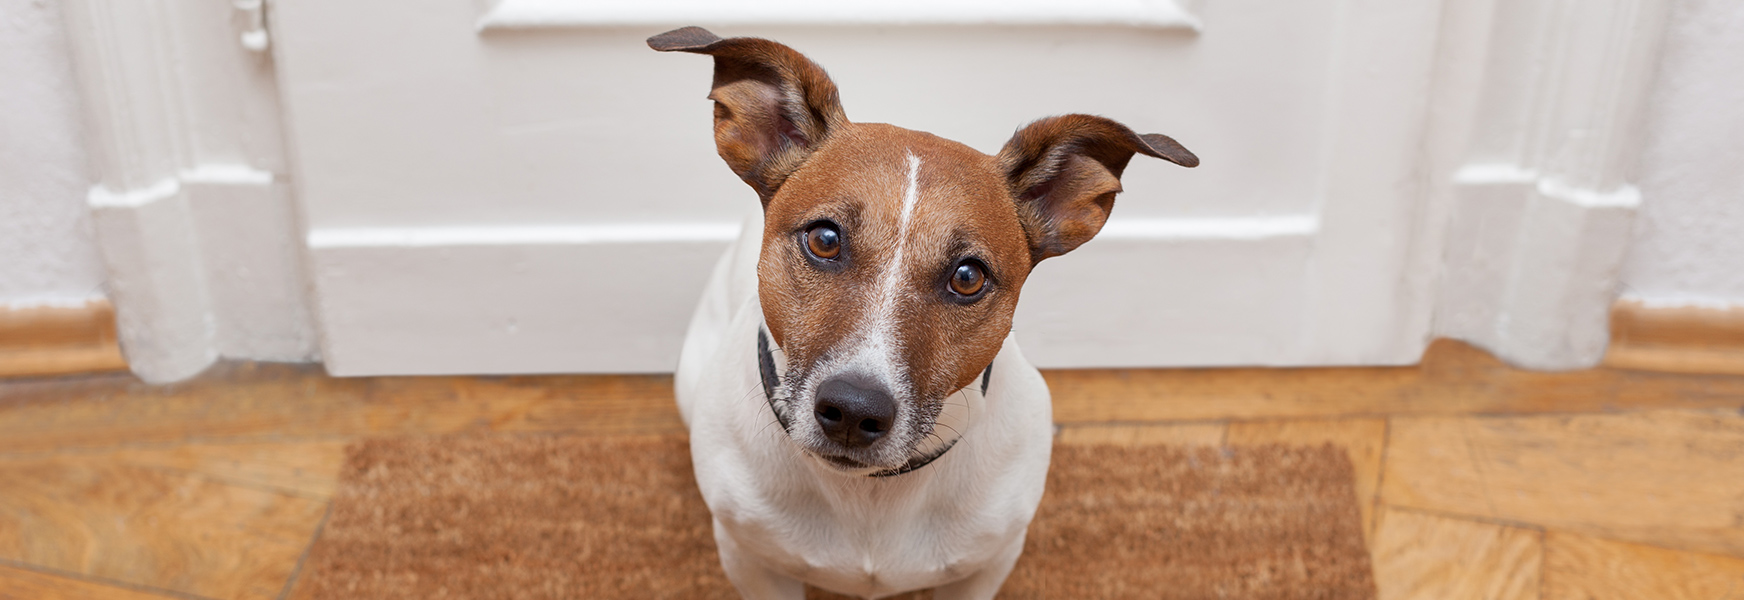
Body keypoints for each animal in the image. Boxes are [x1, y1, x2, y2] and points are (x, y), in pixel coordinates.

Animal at [655, 26, 1199, 600]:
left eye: (968, 277)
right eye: (824, 240)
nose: (854, 410)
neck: (870, 493)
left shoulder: (985, 567)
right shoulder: (752, 561)